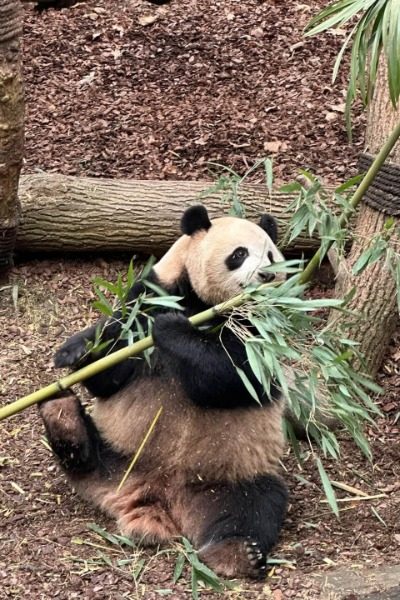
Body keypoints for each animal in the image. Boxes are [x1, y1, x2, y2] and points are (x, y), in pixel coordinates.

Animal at [39, 205, 288, 576]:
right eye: (239, 254)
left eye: (271, 255)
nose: (267, 276)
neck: (204, 305)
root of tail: (154, 493)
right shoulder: (150, 293)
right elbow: (110, 368)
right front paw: (79, 350)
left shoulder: (264, 326)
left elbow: (239, 374)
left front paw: (171, 328)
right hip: (121, 453)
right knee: (85, 455)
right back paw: (63, 419)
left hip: (229, 474)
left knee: (256, 504)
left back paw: (235, 553)